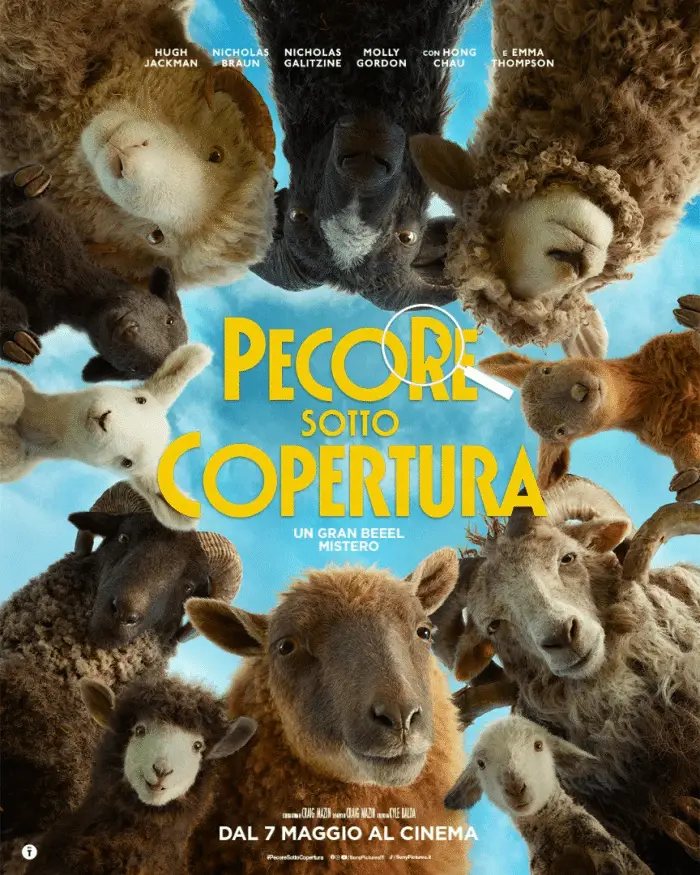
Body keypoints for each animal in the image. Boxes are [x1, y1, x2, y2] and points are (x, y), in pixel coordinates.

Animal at [478, 312, 700, 501]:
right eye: (561, 431)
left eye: (547, 370)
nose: (580, 392)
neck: (652, 389)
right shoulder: (663, 436)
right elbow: (684, 446)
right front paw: (692, 478)